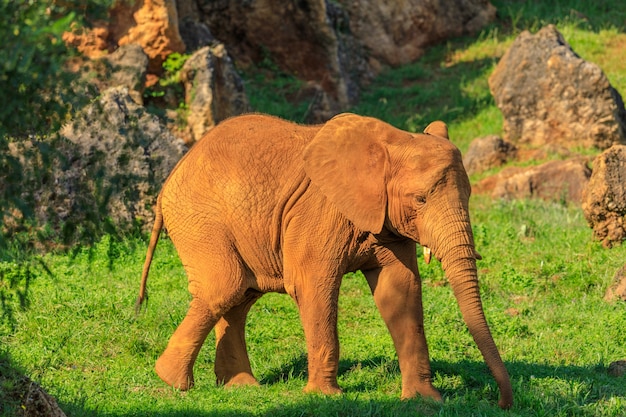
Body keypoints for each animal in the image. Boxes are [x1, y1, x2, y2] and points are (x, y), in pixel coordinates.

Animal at [136, 112, 512, 408]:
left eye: (470, 195)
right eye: (419, 200)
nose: (502, 402)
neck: (388, 143)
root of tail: (171, 175)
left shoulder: (385, 218)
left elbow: (400, 291)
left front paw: (424, 400)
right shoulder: (317, 212)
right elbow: (313, 287)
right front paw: (325, 397)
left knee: (239, 297)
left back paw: (240, 387)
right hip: (199, 220)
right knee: (224, 287)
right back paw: (172, 381)